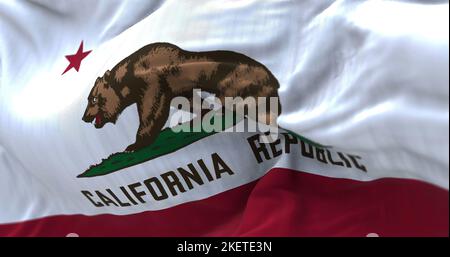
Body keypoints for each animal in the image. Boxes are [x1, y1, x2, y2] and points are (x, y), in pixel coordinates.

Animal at [82, 41, 280, 150]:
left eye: (93, 99)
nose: (84, 117)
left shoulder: (151, 82)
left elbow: (151, 110)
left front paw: (133, 145)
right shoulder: (176, 87)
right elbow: (189, 101)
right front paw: (202, 114)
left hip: (239, 85)